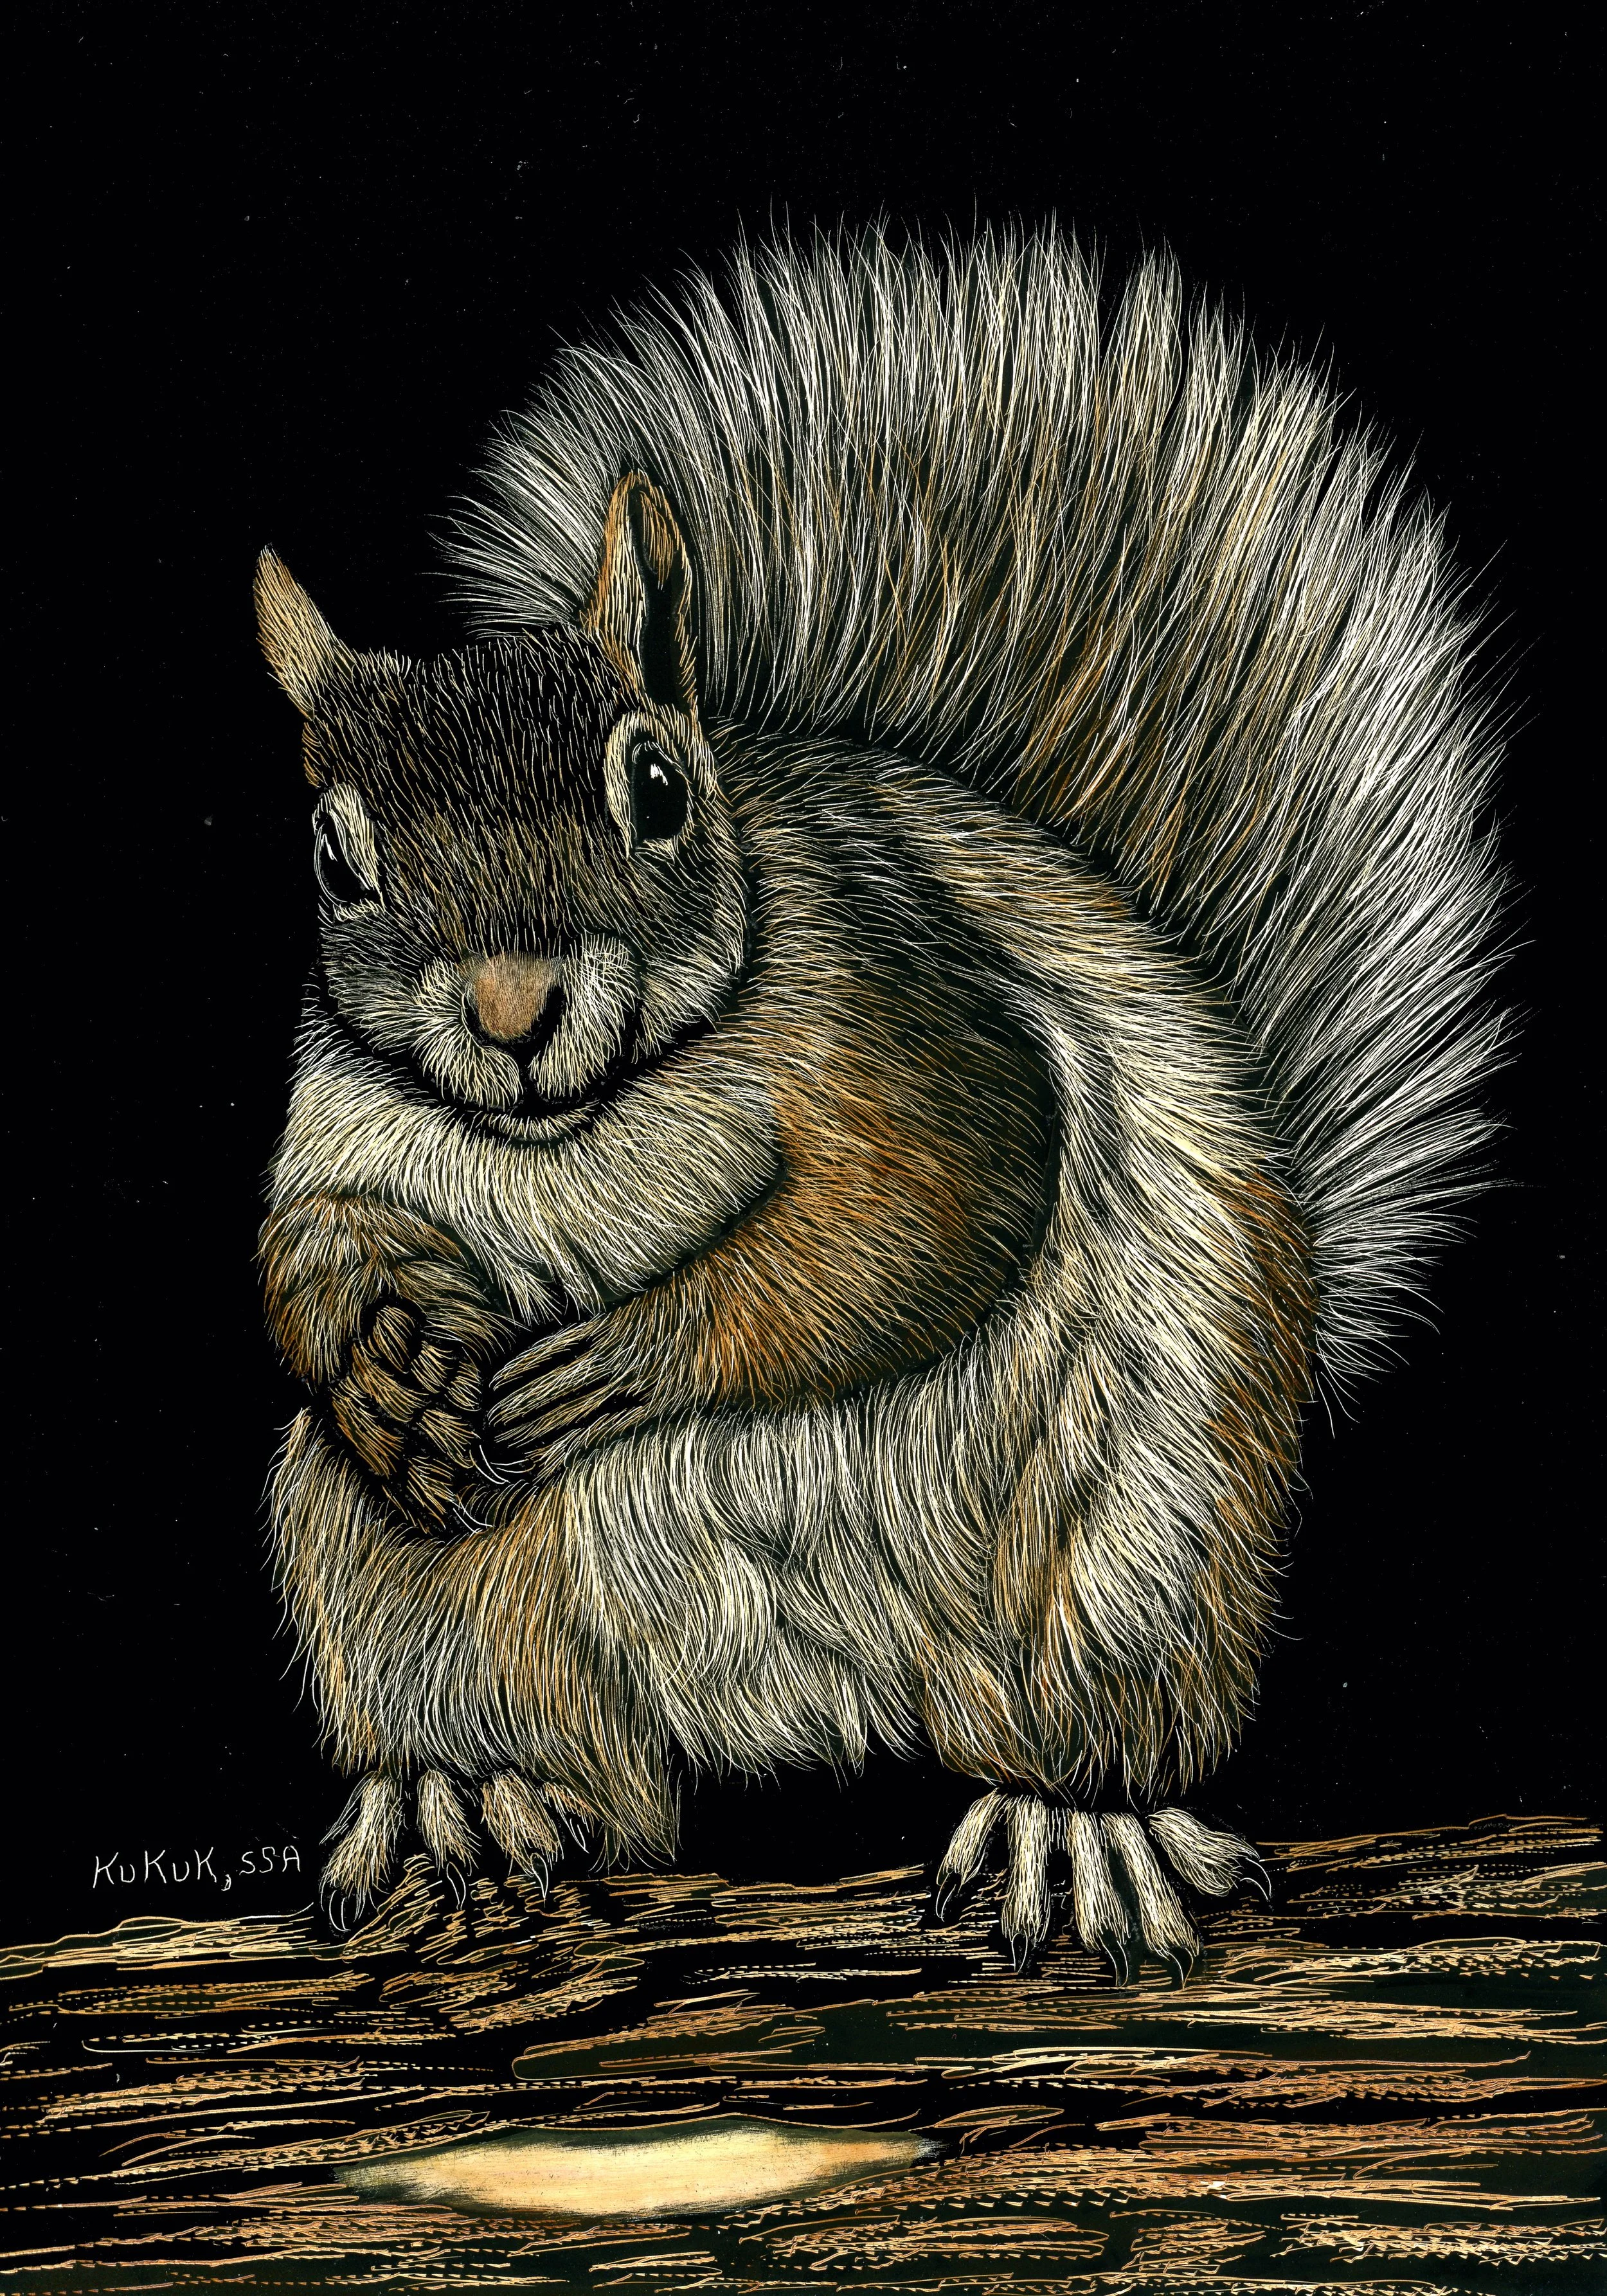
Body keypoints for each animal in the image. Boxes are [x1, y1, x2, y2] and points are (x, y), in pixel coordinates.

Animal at [256, 226, 1503, 1979]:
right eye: (334, 857)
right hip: (397, 1579)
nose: (510, 1014)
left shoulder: (903, 1009)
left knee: (1078, 1712)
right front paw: (379, 1365)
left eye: (656, 787)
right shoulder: (342, 1125)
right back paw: (464, 1794)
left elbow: (926, 1211)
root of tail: (810, 1698)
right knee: (554, 1750)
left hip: (1135, 1540)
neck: (588, 1122)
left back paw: (1077, 1825)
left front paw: (631, 1353)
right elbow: (308, 1246)